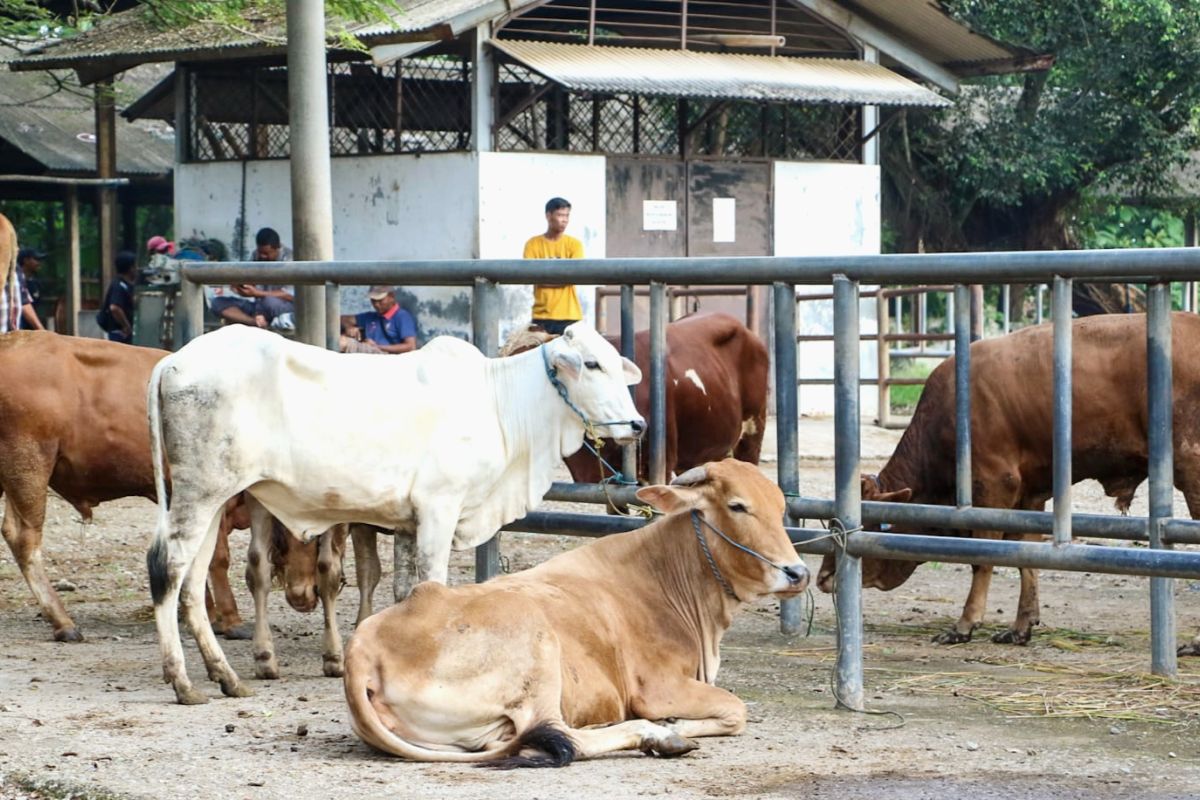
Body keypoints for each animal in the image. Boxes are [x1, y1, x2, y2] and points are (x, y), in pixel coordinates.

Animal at [145, 321, 643, 705]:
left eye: (616, 363)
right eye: (592, 364)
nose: (637, 425)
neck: (501, 404)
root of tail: (175, 361)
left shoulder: (410, 523)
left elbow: (406, 590)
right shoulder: (439, 509)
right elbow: (432, 585)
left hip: (213, 500)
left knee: (194, 582)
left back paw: (225, 676)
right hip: (199, 493)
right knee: (167, 567)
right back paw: (182, 680)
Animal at [340, 460, 806, 767]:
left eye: (781, 508)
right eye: (738, 506)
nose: (797, 572)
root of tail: (363, 649)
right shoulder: (657, 687)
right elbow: (735, 710)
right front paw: (672, 725)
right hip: (540, 650)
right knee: (563, 736)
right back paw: (655, 736)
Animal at [816, 311, 1200, 652]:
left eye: (870, 524)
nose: (822, 578)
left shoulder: (995, 485)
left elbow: (982, 557)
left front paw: (964, 625)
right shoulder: (1030, 495)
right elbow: (1024, 555)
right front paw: (1021, 626)